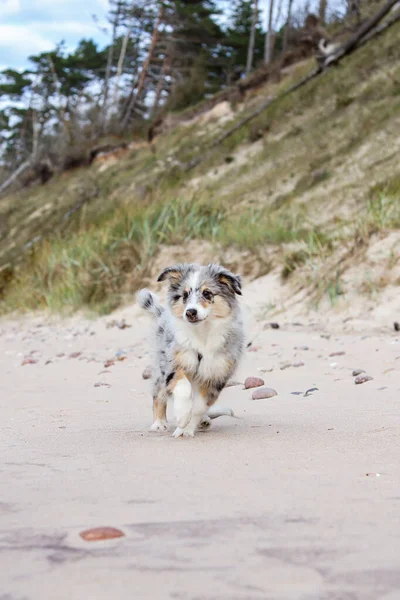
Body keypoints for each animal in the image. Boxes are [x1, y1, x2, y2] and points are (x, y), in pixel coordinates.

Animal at [137, 262, 244, 436]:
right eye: (184, 295)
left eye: (207, 293)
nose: (190, 312)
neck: (202, 333)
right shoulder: (174, 362)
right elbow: (183, 388)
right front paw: (181, 417)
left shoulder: (215, 374)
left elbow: (200, 405)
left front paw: (186, 429)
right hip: (160, 364)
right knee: (158, 393)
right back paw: (159, 423)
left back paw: (204, 421)